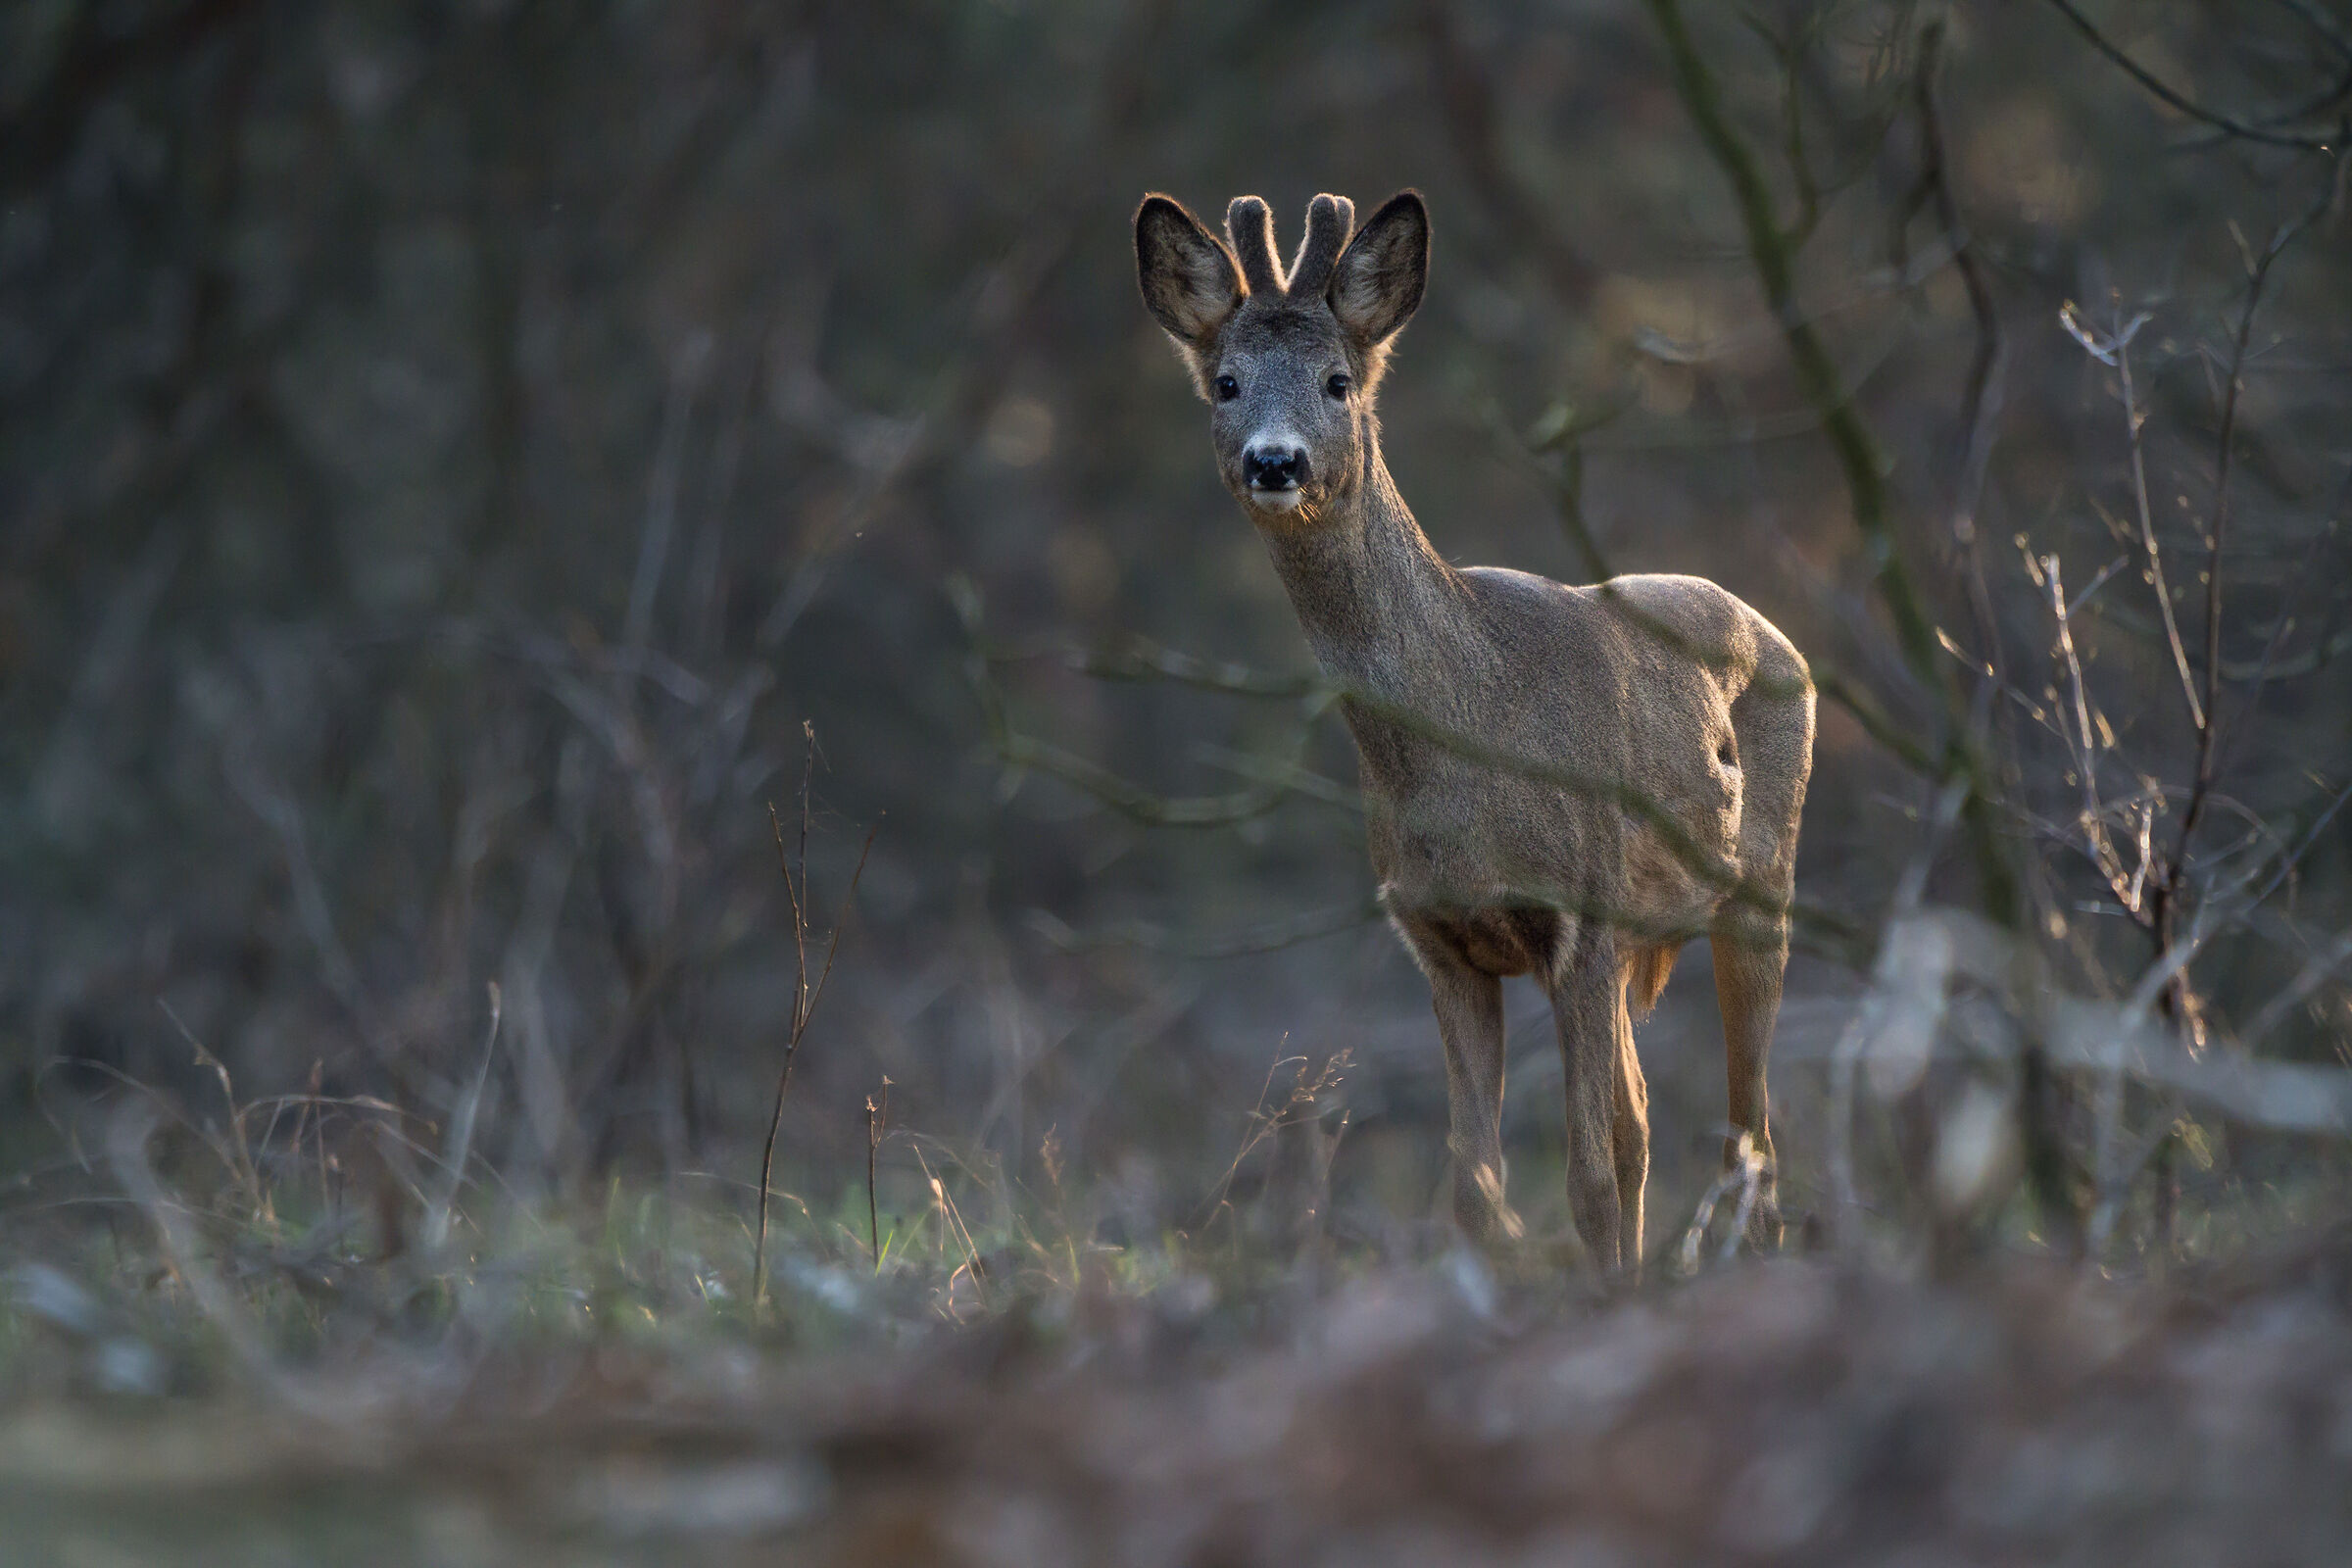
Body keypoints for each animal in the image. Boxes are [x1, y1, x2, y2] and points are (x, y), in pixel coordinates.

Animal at [1134, 189, 1814, 1274]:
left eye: (1337, 381)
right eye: (1226, 382)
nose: (1274, 460)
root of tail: (1775, 631)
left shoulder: (1581, 916)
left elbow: (1586, 1177)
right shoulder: (1439, 939)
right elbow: (1475, 1190)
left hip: (1760, 890)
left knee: (1744, 1133)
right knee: (1648, 1118)